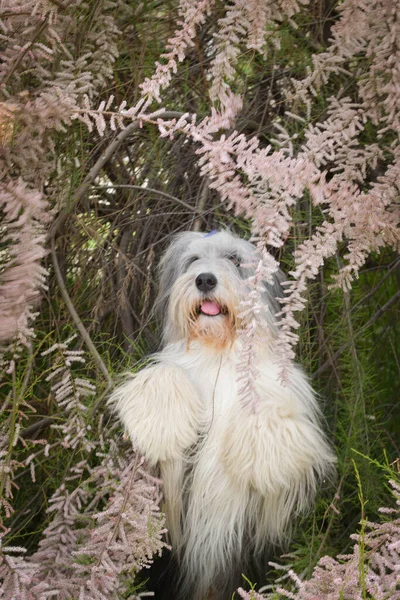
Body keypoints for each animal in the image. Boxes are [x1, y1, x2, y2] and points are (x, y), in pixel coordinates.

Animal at [108, 231, 334, 600]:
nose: (205, 280)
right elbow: (166, 374)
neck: (219, 352)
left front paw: (268, 456)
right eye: (192, 260)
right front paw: (161, 424)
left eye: (234, 259)